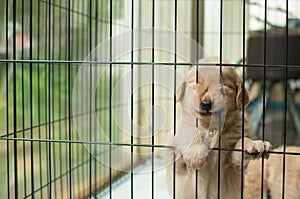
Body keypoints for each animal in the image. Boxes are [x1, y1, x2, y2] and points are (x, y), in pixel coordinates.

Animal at [166, 58, 272, 199]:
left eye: (223, 85)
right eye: (196, 81)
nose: (206, 104)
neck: (212, 127)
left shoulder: (233, 164)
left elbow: (241, 143)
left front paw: (254, 144)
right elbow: (191, 130)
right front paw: (196, 155)